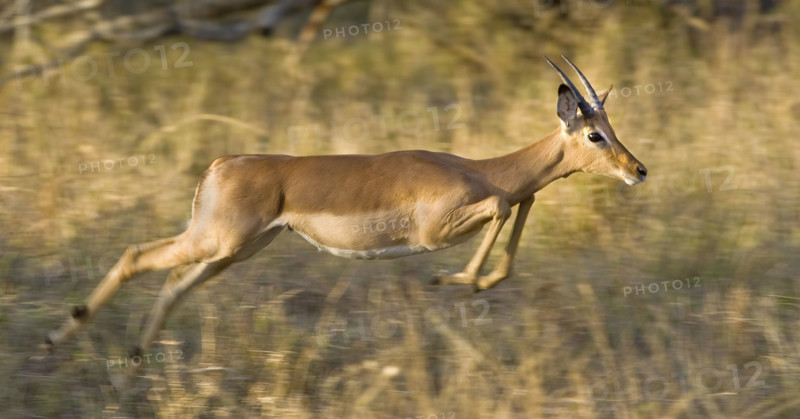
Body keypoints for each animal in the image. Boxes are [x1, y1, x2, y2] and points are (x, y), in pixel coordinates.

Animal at [47, 57, 647, 355]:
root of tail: (221, 163)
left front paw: (475, 283)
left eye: (610, 126)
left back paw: (135, 356)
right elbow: (503, 204)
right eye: (593, 134)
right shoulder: (434, 232)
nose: (638, 169)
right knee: (135, 256)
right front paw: (452, 281)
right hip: (217, 240)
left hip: (234, 250)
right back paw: (62, 336)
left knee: (173, 283)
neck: (477, 167)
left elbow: (521, 206)